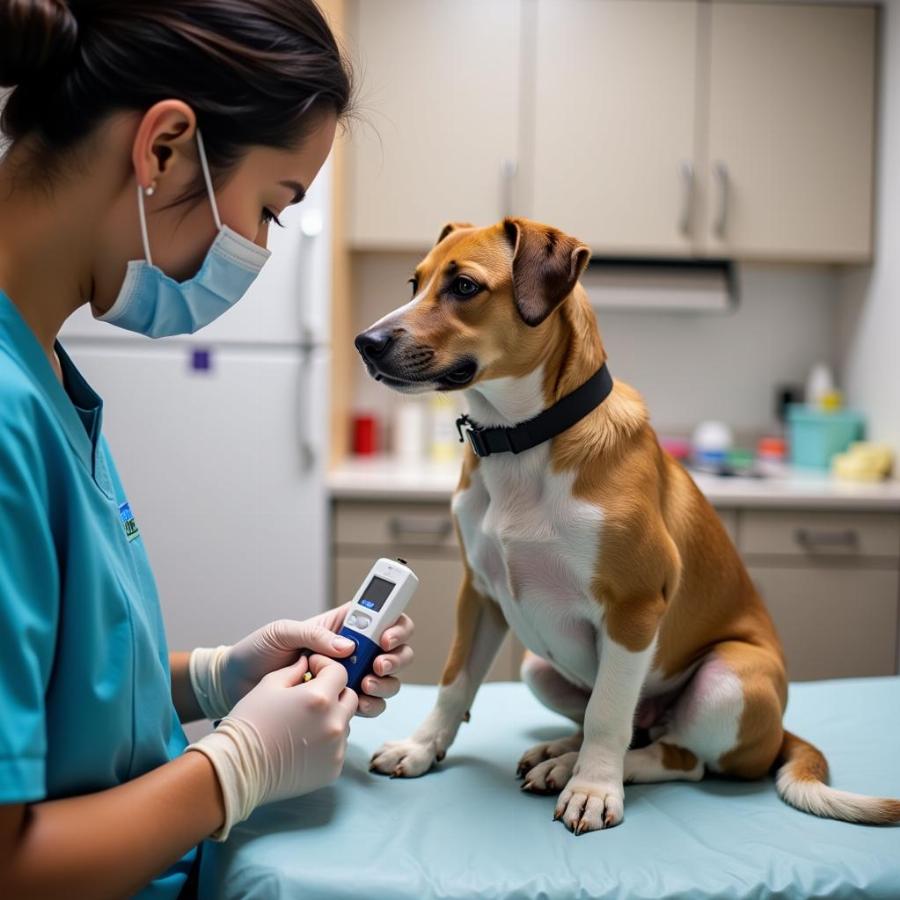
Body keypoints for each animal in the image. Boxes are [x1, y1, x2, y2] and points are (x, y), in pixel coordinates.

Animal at [356, 214, 896, 832]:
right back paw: (556, 754)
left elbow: (608, 714)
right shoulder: (480, 594)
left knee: (678, 756)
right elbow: (454, 684)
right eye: (414, 282)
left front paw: (593, 789)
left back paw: (583, 769)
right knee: (623, 727)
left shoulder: (634, 608)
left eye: (464, 286)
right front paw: (421, 749)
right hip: (537, 667)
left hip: (729, 679)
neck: (522, 441)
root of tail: (782, 732)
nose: (366, 342)